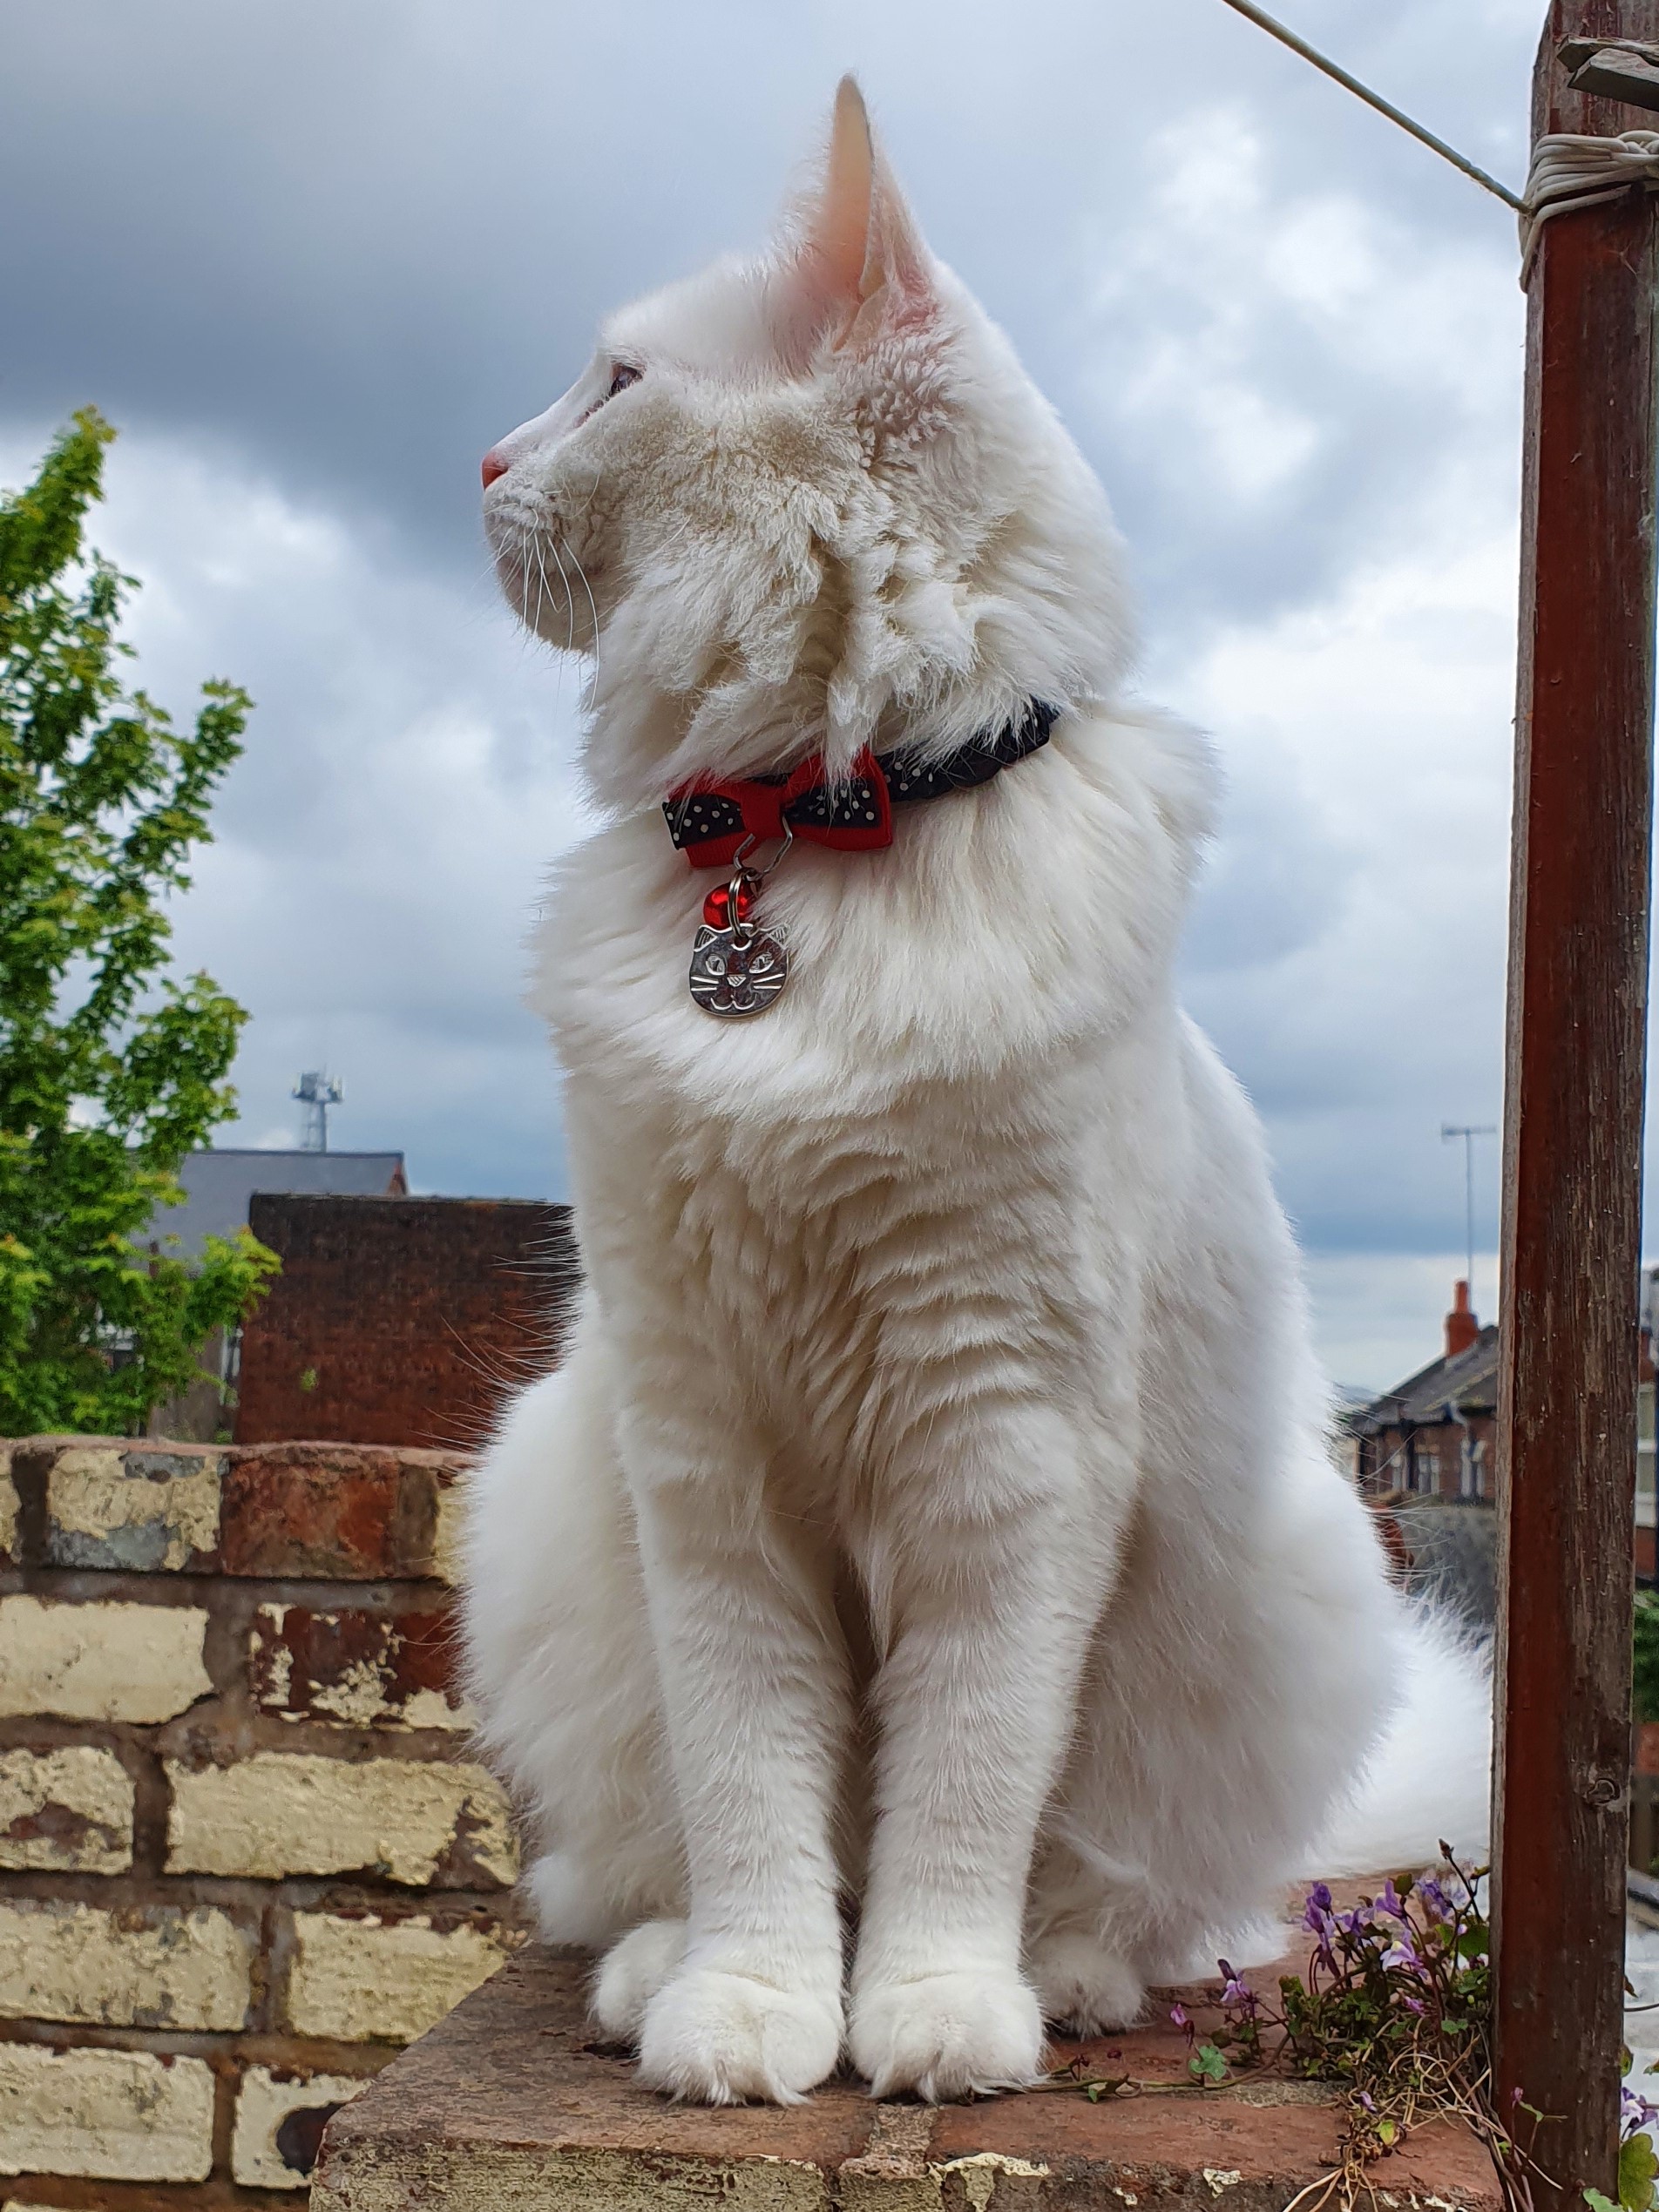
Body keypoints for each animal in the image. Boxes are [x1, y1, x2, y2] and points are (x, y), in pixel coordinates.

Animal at [464, 73, 1495, 2106]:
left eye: (615, 383)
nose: (478, 461)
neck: (813, 829)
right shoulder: (706, 1457)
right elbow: (756, 1786)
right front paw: (754, 2007)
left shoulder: (1000, 1449)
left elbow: (955, 1790)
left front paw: (930, 2009)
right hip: (562, 1519)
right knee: (637, 1860)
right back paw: (656, 1967)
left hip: (1257, 1589)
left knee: (1136, 1895)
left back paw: (1061, 1977)